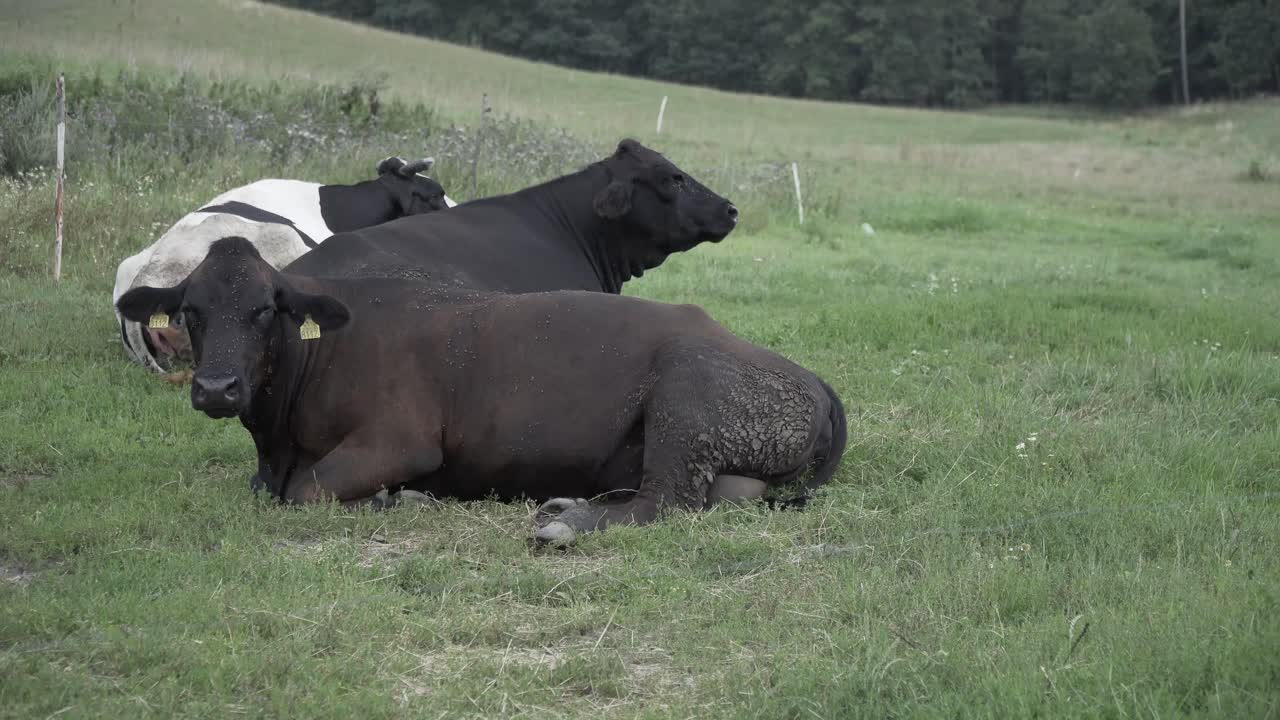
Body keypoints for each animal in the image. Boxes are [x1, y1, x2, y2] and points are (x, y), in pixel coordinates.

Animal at [115, 237, 847, 545]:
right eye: (190, 311)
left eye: (267, 310)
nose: (216, 387)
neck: (278, 437)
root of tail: (811, 378)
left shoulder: (401, 440)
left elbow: (308, 491)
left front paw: (393, 500)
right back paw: (571, 502)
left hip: (685, 397)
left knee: (668, 501)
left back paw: (567, 522)